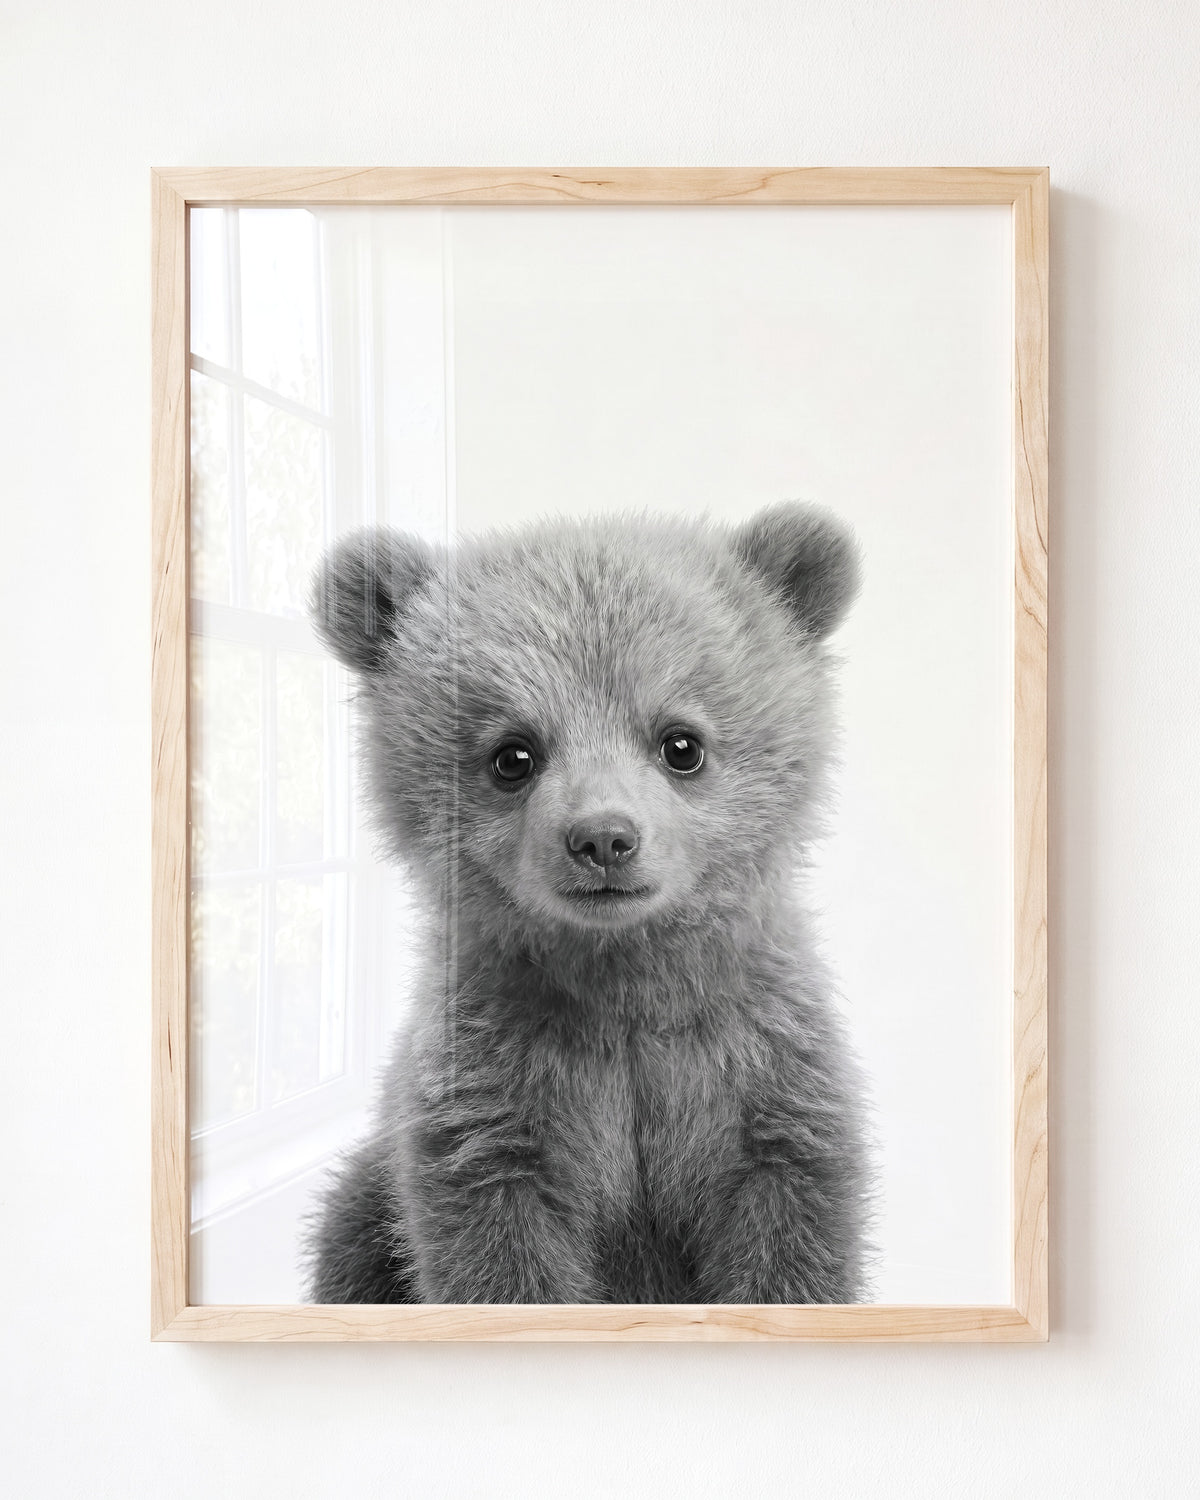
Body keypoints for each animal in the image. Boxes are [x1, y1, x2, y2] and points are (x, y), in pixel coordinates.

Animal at [304, 501, 873, 1304]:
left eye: (681, 743)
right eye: (512, 754)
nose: (604, 838)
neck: (623, 985)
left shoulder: (760, 1078)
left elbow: (789, 1244)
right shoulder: (496, 1099)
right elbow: (499, 1258)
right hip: (366, 1205)